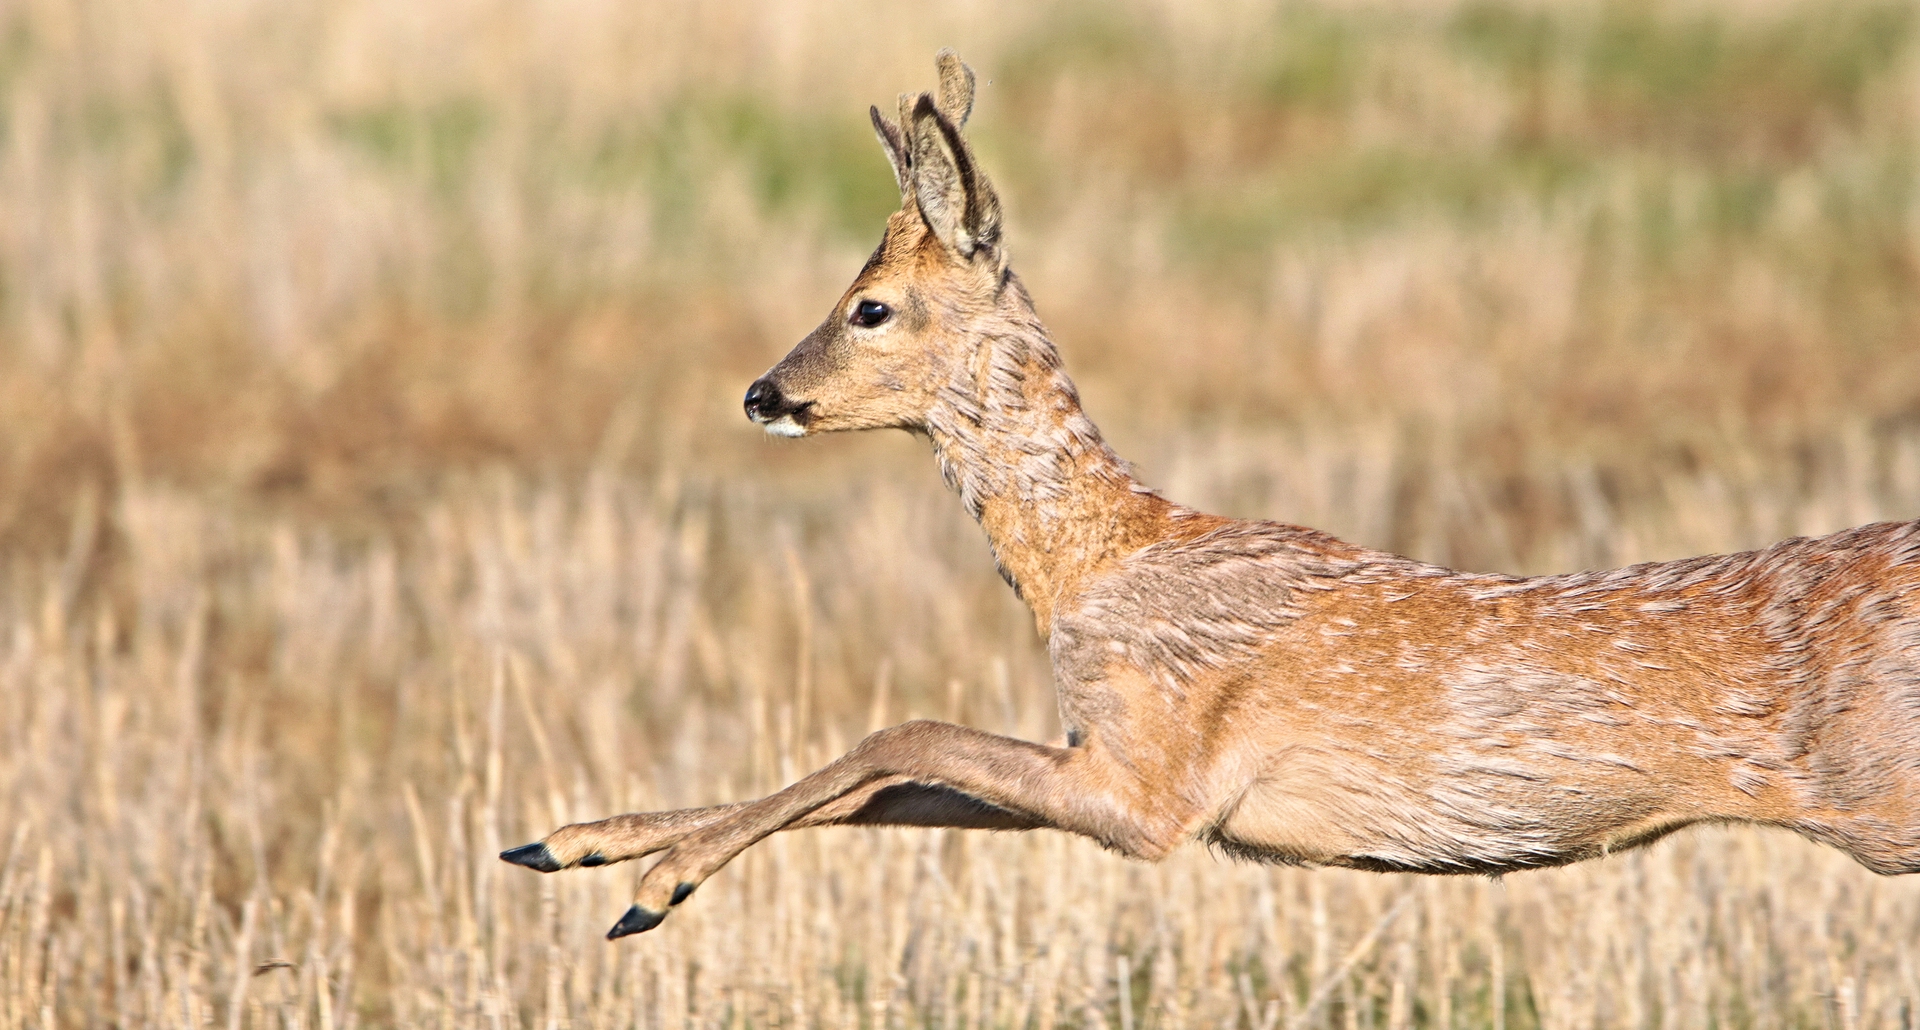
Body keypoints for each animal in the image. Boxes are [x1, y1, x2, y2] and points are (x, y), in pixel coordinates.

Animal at [506, 56, 1920, 941]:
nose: (762, 392)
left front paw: (650, 887)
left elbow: (901, 737)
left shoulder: (1159, 784)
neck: (1096, 566)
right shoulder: (1113, 764)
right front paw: (571, 844)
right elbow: (889, 787)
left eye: (871, 307)